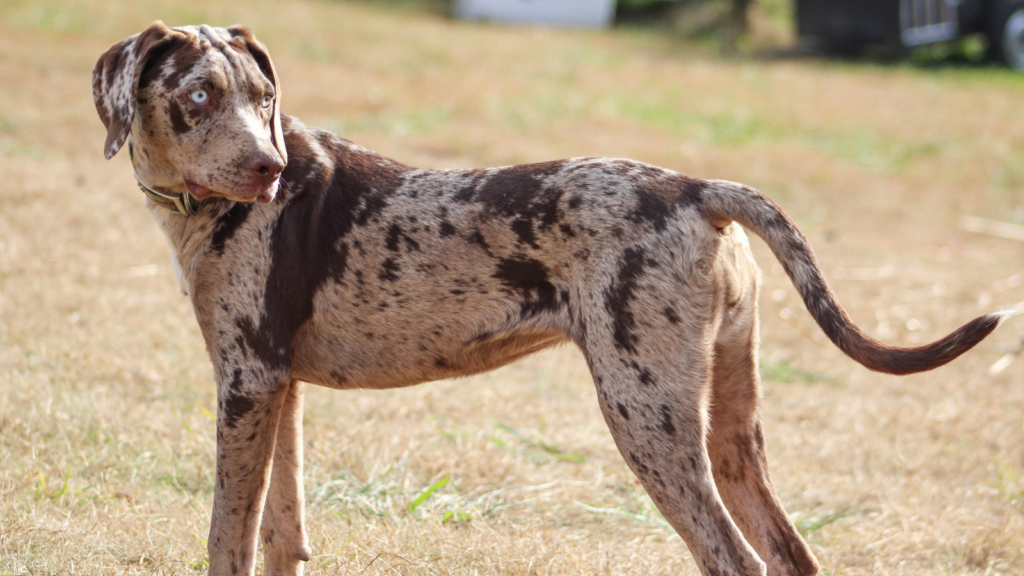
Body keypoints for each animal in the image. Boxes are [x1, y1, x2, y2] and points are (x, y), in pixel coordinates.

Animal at [94, 21, 1007, 573]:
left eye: (263, 99)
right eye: (202, 96)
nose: (268, 169)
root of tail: (696, 189)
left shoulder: (246, 384)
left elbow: (227, 534)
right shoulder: (280, 388)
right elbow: (281, 533)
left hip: (646, 415)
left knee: (731, 557)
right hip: (729, 428)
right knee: (786, 554)